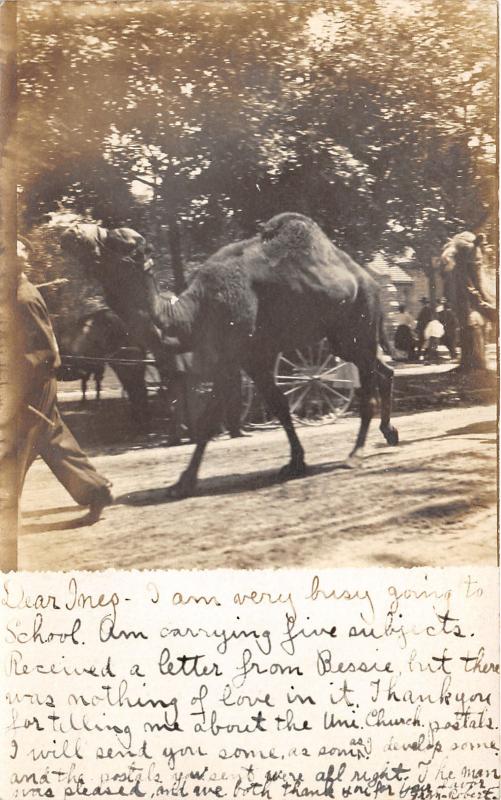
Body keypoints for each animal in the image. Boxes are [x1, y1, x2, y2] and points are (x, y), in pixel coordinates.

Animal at [61, 216, 398, 496]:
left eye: (117, 241)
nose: (71, 231)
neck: (193, 312)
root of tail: (371, 281)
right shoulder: (254, 357)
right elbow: (279, 406)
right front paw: (296, 462)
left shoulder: (230, 357)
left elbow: (209, 420)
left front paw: (183, 482)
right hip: (344, 339)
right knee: (383, 370)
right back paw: (389, 433)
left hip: (359, 321)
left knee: (368, 385)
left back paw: (355, 455)